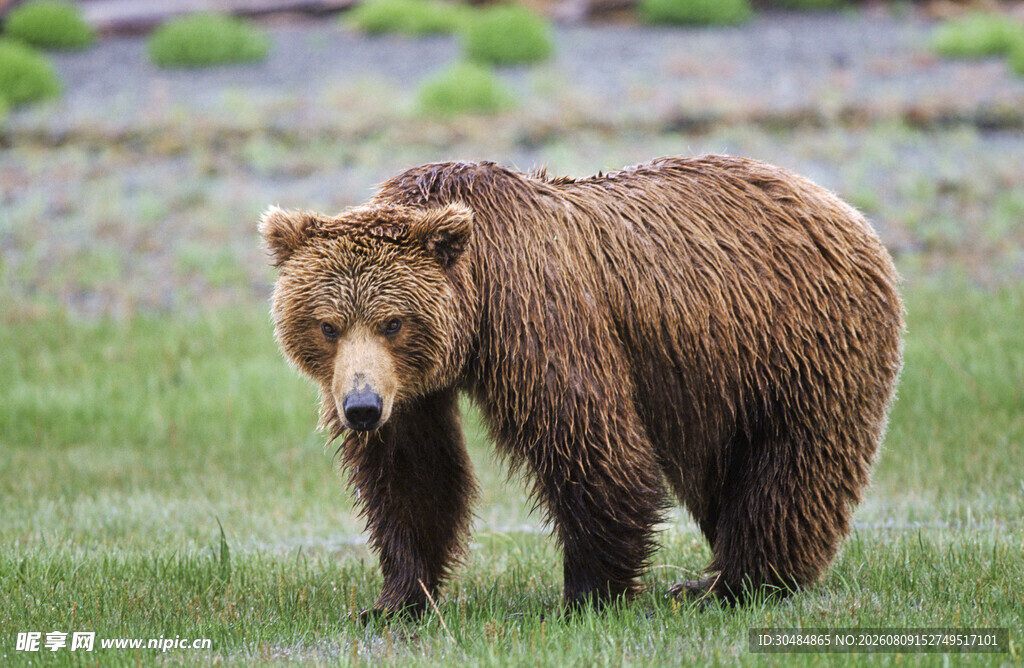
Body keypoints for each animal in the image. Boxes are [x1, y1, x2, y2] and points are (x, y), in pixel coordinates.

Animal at [260, 156, 904, 615]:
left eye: (393, 322)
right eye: (328, 324)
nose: (362, 408)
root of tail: (843, 209)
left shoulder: (535, 315)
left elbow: (590, 444)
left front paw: (584, 596)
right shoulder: (412, 389)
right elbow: (413, 477)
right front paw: (393, 600)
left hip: (800, 342)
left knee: (793, 465)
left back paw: (730, 585)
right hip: (716, 376)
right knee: (719, 469)